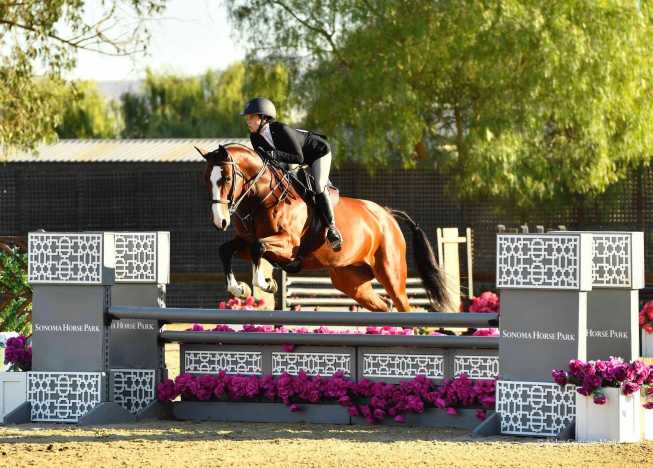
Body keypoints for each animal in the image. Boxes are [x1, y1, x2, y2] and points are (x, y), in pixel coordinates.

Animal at [198, 143, 452, 312]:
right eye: (206, 180)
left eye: (226, 178)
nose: (219, 221)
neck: (263, 197)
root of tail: (387, 215)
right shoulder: (246, 241)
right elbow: (228, 250)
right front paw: (240, 289)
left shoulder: (288, 245)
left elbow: (258, 248)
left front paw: (267, 284)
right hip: (351, 280)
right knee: (383, 306)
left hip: (391, 273)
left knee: (403, 306)